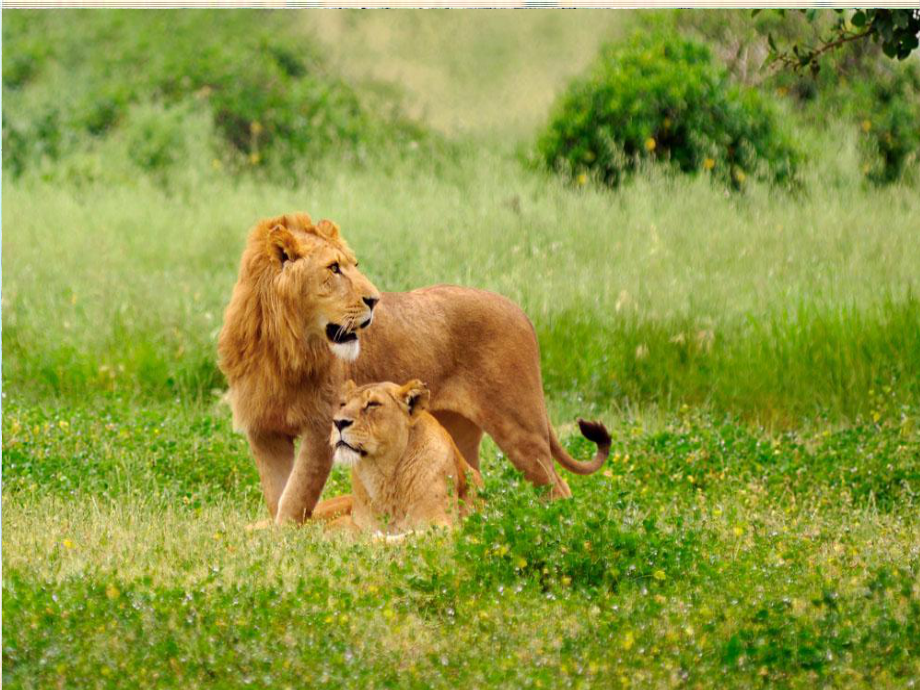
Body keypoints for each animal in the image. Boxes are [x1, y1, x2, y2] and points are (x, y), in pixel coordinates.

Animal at [310, 376, 482, 532]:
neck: (383, 474)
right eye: (343, 404)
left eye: (372, 404)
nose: (338, 422)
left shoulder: (441, 525)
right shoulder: (359, 522)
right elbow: (346, 527)